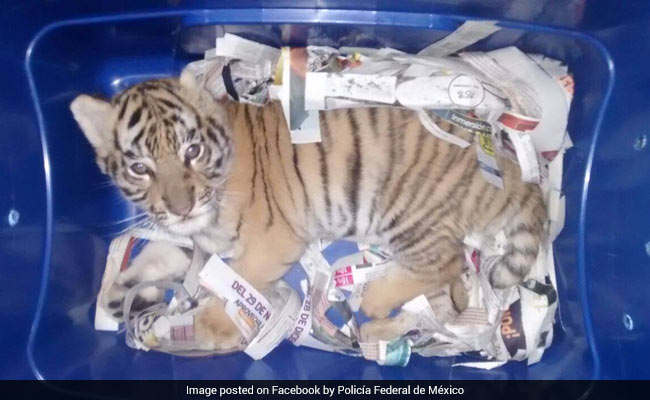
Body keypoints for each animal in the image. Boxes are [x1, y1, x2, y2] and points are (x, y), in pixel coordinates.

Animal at [70, 69, 546, 350]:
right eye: (140, 168)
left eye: (192, 150)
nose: (182, 207)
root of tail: (512, 169)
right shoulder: (199, 242)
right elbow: (154, 258)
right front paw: (118, 297)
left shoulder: (269, 240)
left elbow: (236, 288)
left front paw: (204, 328)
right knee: (447, 301)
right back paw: (379, 332)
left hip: (408, 213)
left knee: (445, 262)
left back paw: (374, 300)